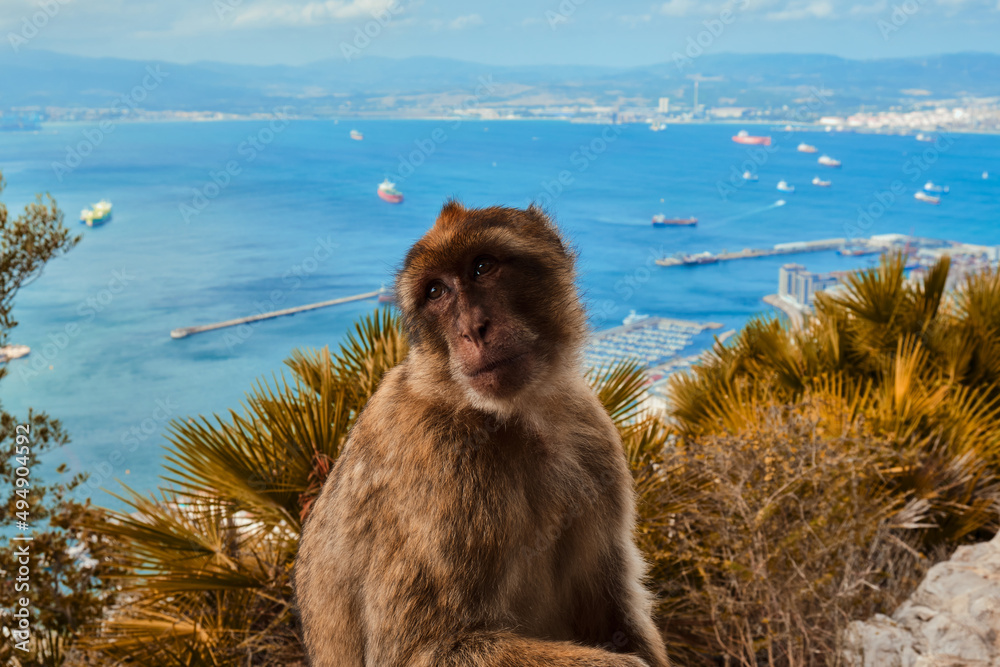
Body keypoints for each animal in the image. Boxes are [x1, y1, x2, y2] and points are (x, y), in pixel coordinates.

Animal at [295, 202, 669, 667]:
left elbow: (612, 615)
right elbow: (421, 649)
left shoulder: (591, 432)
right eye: (436, 292)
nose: (473, 329)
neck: (511, 416)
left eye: (482, 267)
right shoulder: (438, 465)